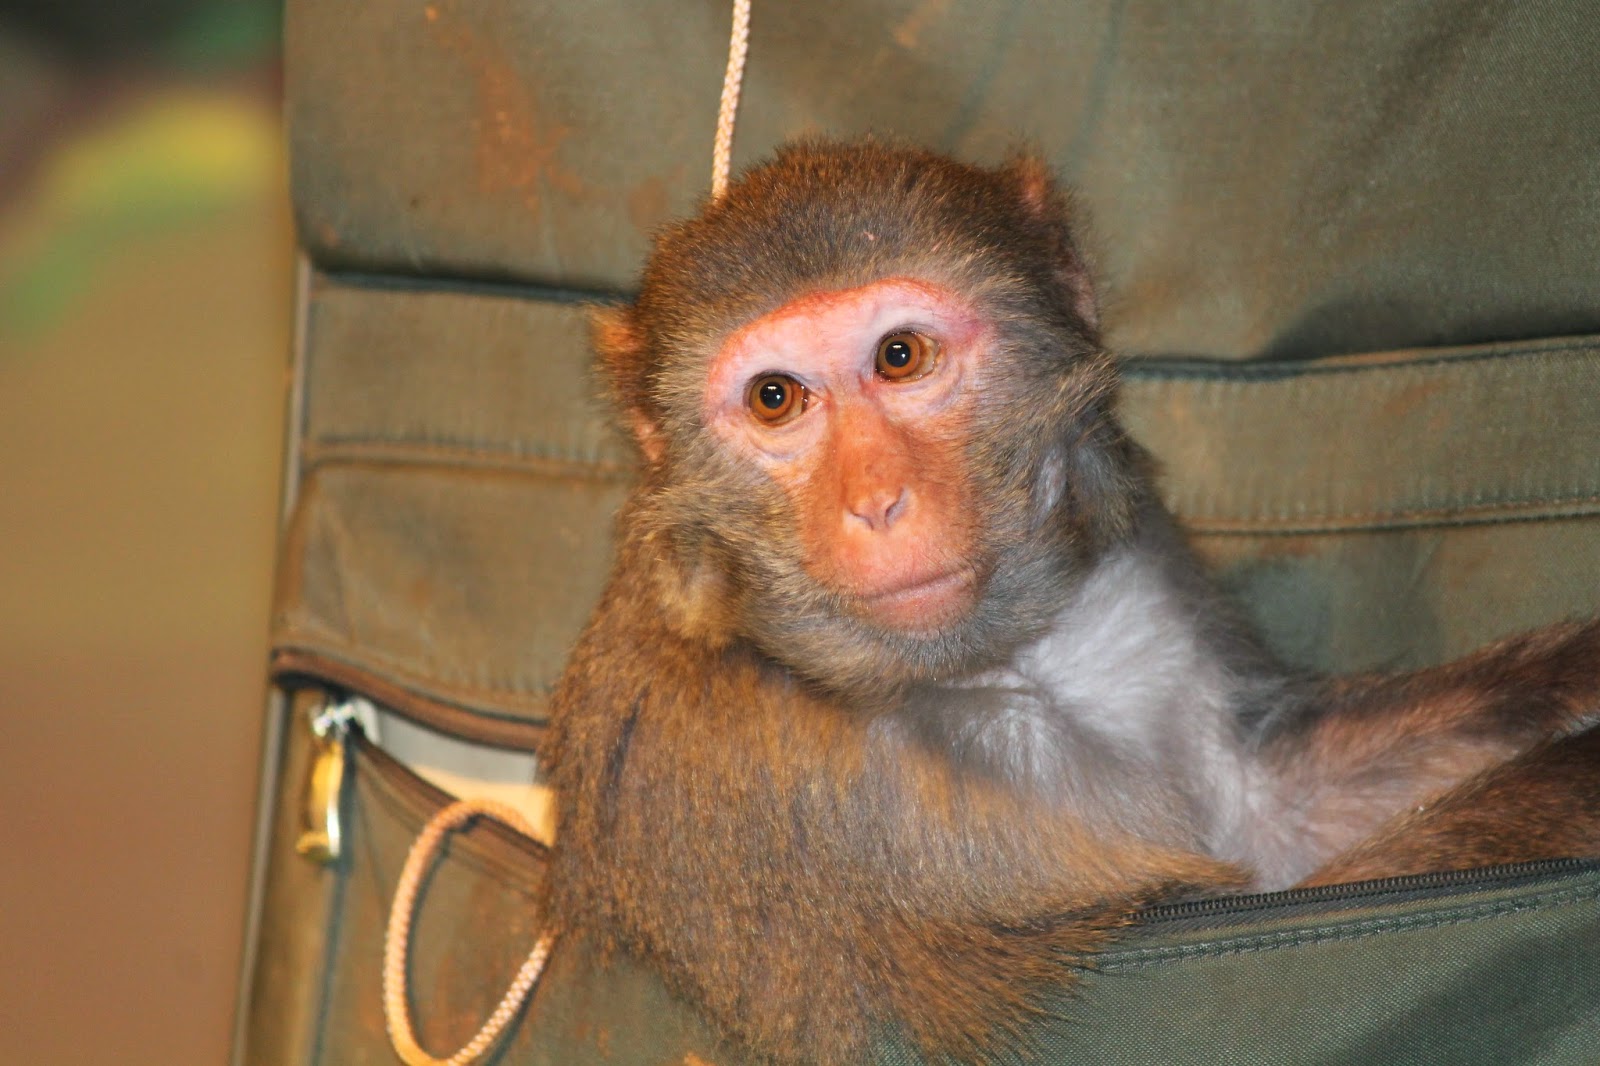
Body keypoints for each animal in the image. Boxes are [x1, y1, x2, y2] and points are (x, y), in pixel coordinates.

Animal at [540, 139, 1600, 1064]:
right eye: (775, 399)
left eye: (899, 356)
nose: (875, 500)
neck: (1003, 665)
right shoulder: (832, 807)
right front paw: (1578, 786)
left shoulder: (1142, 585)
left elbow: (1271, 819)